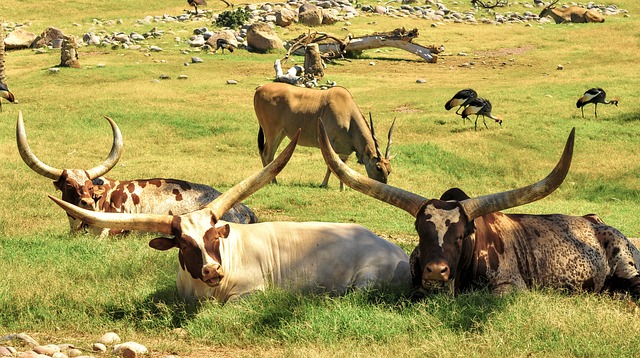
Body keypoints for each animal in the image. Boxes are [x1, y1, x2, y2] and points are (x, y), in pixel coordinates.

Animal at [48, 131, 410, 302]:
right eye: (183, 244)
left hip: (366, 282)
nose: (212, 269)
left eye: (213, 237)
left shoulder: (249, 294)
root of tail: (398, 251)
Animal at [255, 82, 396, 190]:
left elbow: (343, 167)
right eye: (378, 168)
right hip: (272, 131)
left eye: (389, 170)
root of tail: (259, 90)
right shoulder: (329, 143)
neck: (348, 114)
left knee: (267, 153)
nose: (383, 185)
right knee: (267, 154)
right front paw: (324, 184)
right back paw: (272, 181)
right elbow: (331, 165)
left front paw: (342, 188)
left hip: (281, 133)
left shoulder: (344, 151)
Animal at [318, 121, 640, 298]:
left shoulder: (510, 286)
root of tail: (597, 222)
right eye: (420, 232)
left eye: (461, 236)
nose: (436, 270)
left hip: (626, 264)